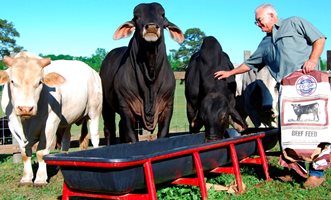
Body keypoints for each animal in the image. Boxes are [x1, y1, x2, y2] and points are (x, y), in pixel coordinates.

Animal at [0, 51, 102, 186]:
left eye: (40, 82)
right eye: (12, 81)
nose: (25, 108)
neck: (27, 123)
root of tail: (92, 71)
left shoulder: (50, 123)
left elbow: (41, 152)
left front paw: (40, 179)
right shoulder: (12, 124)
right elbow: (24, 153)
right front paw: (26, 178)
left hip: (94, 112)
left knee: (95, 137)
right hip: (67, 120)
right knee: (66, 140)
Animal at [100, 2, 185, 144]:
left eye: (162, 15)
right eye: (137, 17)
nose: (151, 27)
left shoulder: (168, 106)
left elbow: (163, 133)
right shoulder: (125, 106)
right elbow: (132, 136)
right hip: (106, 106)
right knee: (109, 129)